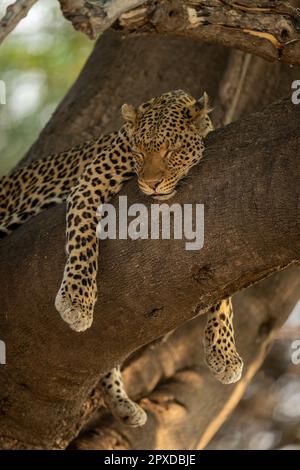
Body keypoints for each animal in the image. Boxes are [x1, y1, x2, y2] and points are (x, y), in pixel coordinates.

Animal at [0, 90, 243, 428]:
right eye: (139, 152)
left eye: (172, 151)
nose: (151, 184)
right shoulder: (88, 185)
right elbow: (83, 240)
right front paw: (77, 300)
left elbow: (224, 289)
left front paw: (224, 353)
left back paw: (122, 403)